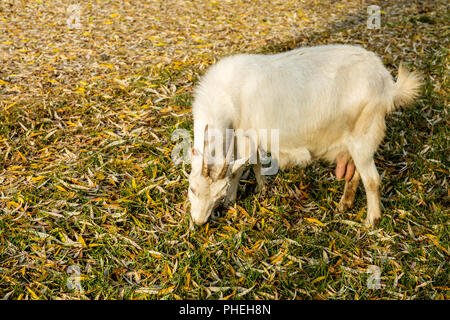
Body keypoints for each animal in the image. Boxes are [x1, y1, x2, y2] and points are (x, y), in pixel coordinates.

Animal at [187, 43, 422, 226]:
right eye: (192, 188)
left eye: (218, 194)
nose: (198, 221)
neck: (225, 95)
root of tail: (387, 85)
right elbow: (255, 163)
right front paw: (261, 189)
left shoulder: (245, 135)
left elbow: (241, 168)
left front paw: (231, 201)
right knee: (356, 173)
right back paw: (344, 204)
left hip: (364, 135)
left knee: (372, 180)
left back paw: (371, 221)